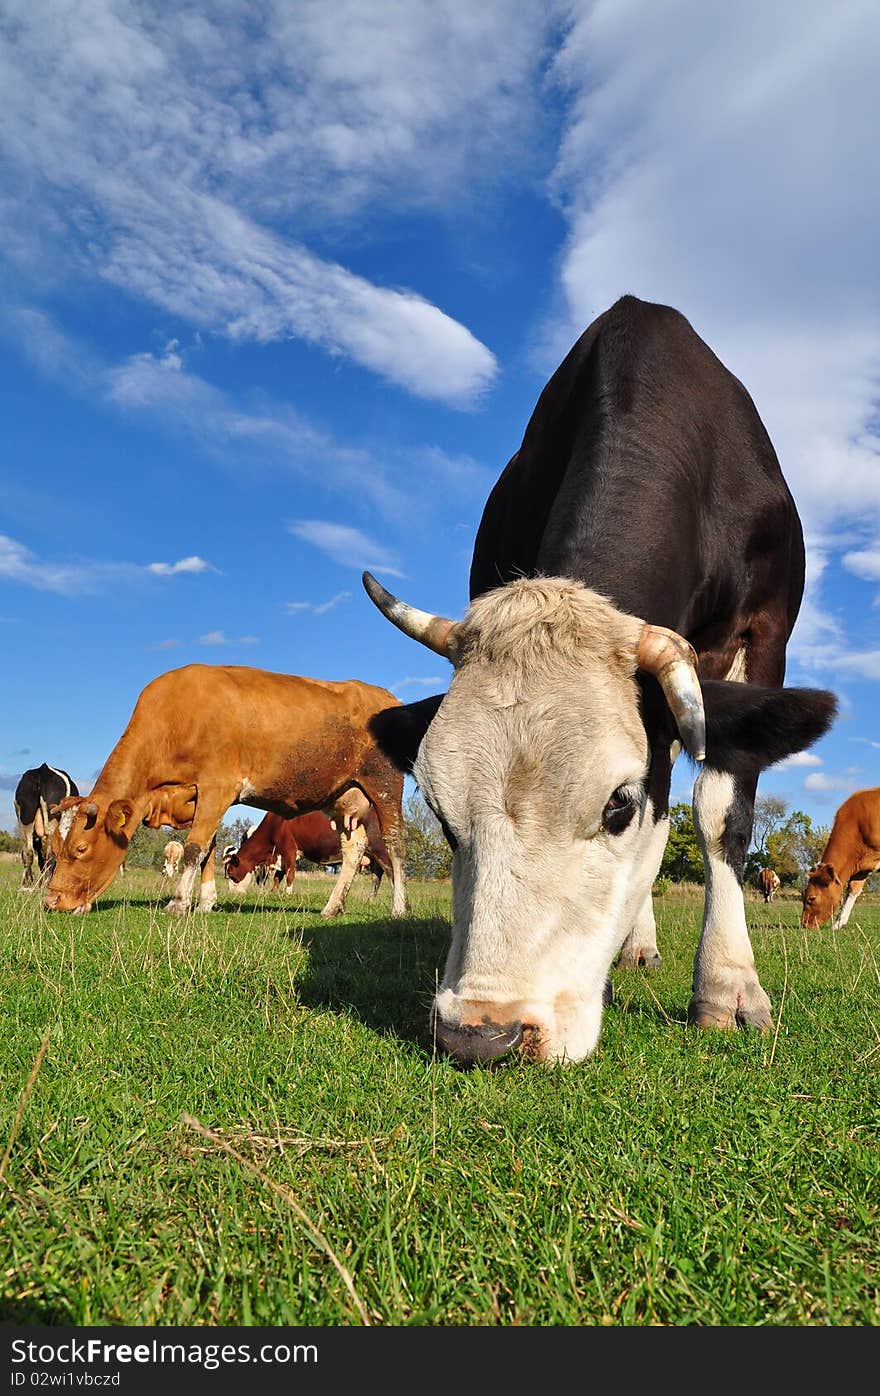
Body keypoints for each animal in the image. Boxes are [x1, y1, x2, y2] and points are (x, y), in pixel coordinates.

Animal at [13, 759, 79, 887]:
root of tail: (43, 770)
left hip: (25, 817)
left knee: (28, 851)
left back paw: (25, 884)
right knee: (47, 854)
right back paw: (44, 883)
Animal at [227, 804, 393, 910]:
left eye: (231, 875)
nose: (232, 894)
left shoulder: (289, 849)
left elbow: (290, 875)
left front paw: (288, 894)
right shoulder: (280, 855)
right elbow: (277, 878)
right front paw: (272, 893)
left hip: (381, 849)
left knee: (389, 871)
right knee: (377, 876)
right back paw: (371, 900)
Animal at [365, 288, 843, 1060]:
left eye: (618, 805)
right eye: (439, 812)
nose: (481, 1035)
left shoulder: (763, 635)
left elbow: (721, 814)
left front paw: (729, 986)